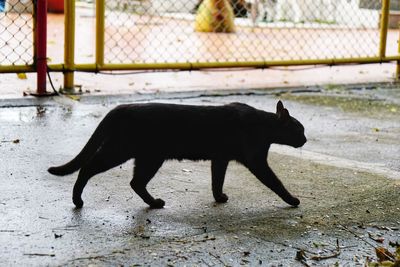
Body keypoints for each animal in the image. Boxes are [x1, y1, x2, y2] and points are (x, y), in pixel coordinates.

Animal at [49, 101, 306, 210]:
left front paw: (219, 197)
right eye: (300, 130)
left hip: (148, 158)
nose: (305, 139)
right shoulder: (256, 161)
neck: (263, 125)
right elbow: (276, 183)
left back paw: (154, 203)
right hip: (123, 152)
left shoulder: (220, 158)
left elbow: (217, 180)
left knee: (135, 182)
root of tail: (123, 107)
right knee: (88, 168)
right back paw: (77, 200)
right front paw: (292, 200)